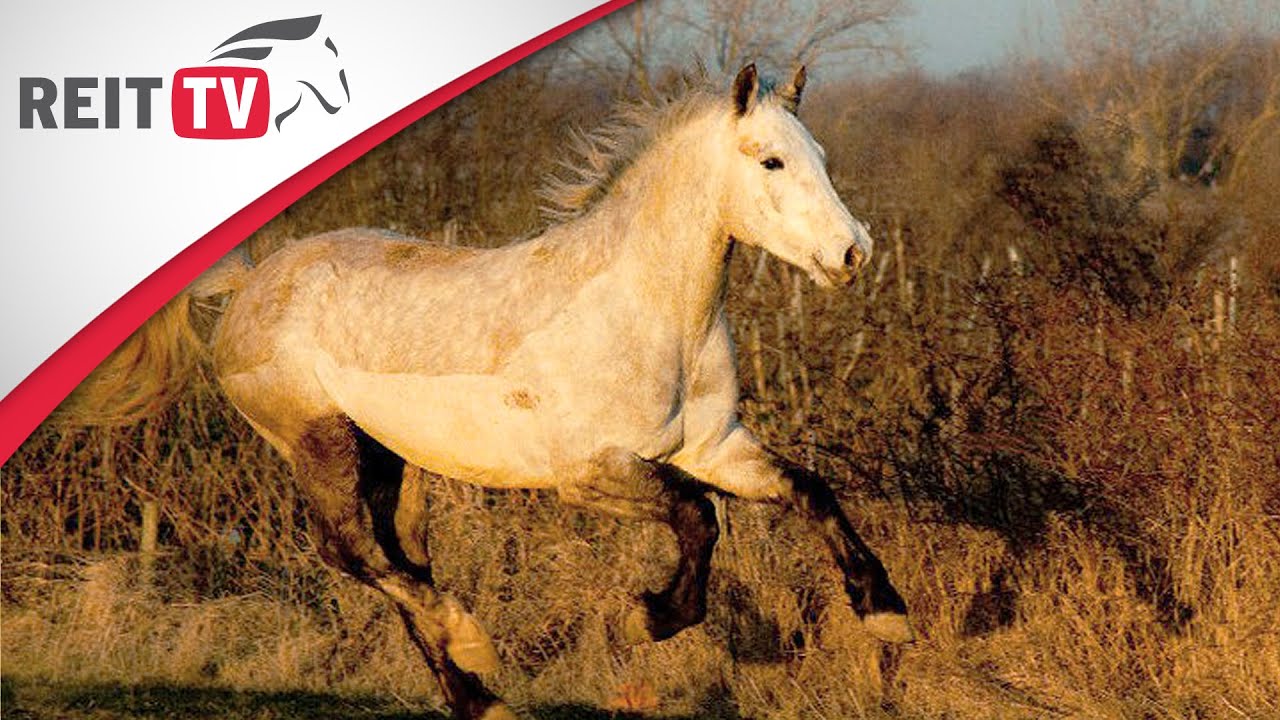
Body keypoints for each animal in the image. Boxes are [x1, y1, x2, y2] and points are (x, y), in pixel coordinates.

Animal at [79, 64, 912, 719]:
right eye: (771, 161)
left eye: (819, 156)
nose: (852, 253)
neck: (649, 312)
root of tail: (251, 284)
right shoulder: (590, 474)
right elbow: (697, 517)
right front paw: (649, 619)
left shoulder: (713, 447)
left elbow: (808, 489)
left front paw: (887, 616)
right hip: (318, 443)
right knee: (351, 554)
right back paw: (474, 644)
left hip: (394, 461)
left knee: (401, 562)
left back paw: (482, 699)